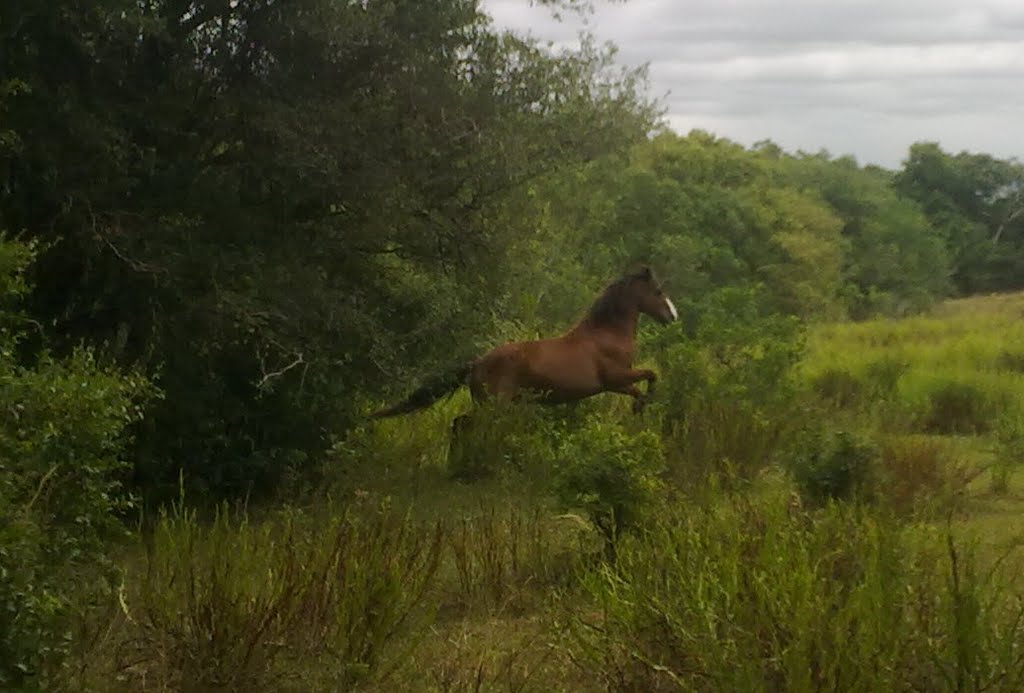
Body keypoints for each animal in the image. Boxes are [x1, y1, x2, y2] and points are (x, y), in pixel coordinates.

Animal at [370, 264, 679, 419]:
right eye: (657, 291)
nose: (672, 316)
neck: (606, 334)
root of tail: (477, 363)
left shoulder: (617, 384)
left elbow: (641, 388)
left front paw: (639, 407)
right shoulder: (614, 378)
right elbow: (652, 374)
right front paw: (640, 406)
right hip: (494, 404)